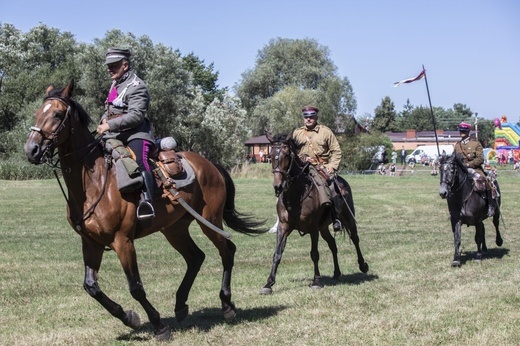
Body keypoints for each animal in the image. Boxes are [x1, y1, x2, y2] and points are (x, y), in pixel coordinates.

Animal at [23, 79, 266, 340]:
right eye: (37, 113)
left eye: (57, 114)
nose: (31, 149)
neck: (95, 182)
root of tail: (210, 165)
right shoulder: (91, 243)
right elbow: (91, 286)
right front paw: (129, 317)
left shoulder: (123, 242)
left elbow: (136, 287)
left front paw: (158, 325)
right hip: (174, 228)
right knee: (195, 257)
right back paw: (180, 304)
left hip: (209, 220)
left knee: (227, 251)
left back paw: (227, 305)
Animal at [260, 132, 370, 294]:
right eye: (271, 155)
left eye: (286, 155)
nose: (278, 186)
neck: (296, 194)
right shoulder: (283, 227)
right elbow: (277, 253)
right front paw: (268, 283)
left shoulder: (313, 228)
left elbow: (314, 254)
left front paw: (316, 281)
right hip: (323, 228)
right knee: (333, 245)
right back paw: (336, 273)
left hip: (348, 218)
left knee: (355, 239)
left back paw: (363, 265)